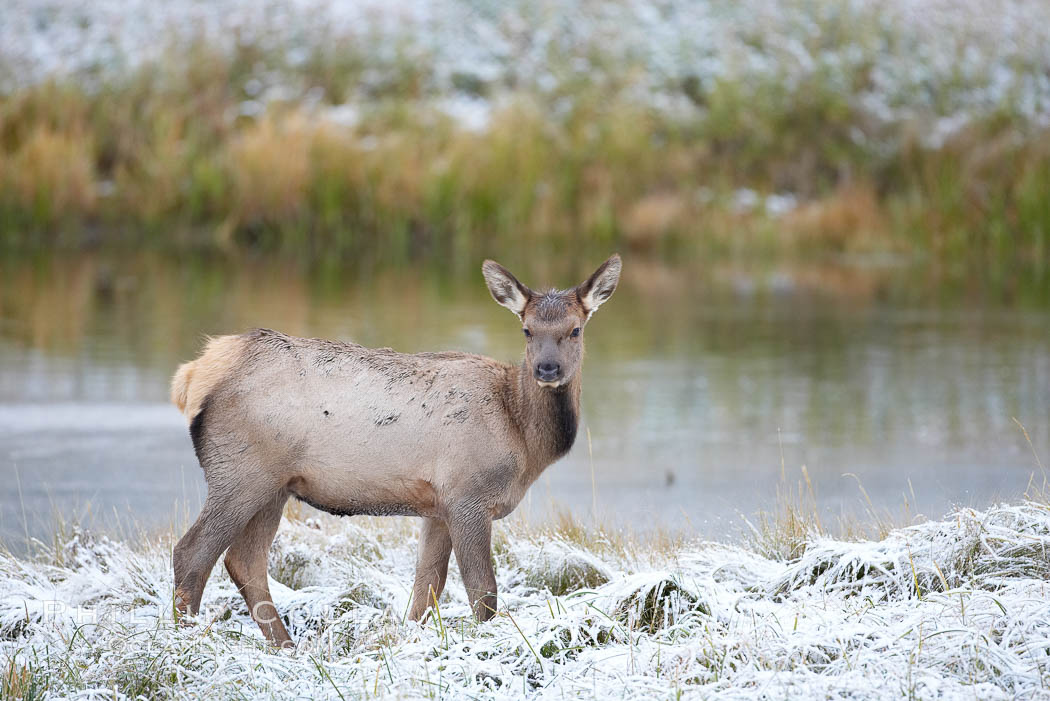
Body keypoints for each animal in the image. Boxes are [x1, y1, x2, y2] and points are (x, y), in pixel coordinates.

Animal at [168, 251, 617, 646]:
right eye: (527, 330)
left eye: (575, 329)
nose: (547, 368)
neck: (523, 438)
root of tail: (193, 374)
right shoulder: (468, 495)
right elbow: (483, 592)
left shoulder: (438, 507)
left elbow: (427, 587)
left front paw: (408, 641)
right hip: (240, 471)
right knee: (192, 553)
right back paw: (183, 641)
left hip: (274, 486)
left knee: (245, 561)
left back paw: (286, 646)